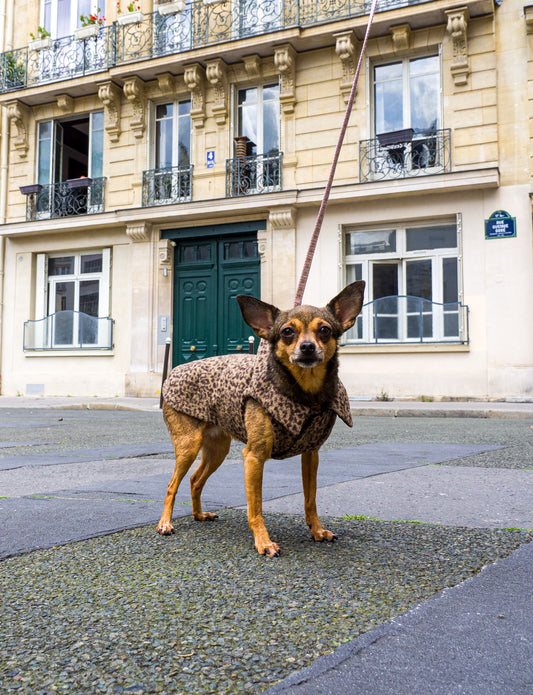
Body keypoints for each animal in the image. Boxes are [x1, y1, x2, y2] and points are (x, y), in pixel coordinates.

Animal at [158, 280, 364, 556]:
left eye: (325, 330)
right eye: (287, 332)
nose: (307, 347)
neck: (304, 393)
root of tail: (173, 372)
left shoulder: (311, 454)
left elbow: (310, 499)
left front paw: (317, 531)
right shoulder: (254, 457)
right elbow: (255, 507)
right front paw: (263, 542)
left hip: (217, 450)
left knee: (194, 479)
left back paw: (199, 514)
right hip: (188, 446)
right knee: (172, 484)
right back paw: (165, 523)